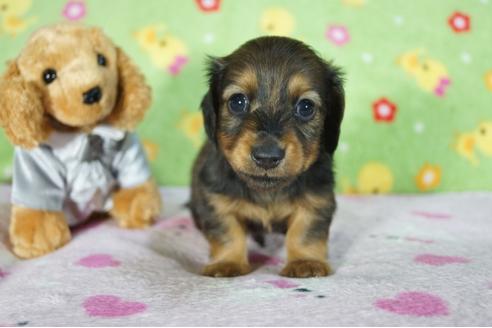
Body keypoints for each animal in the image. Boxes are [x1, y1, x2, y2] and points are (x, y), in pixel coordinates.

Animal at [190, 35, 344, 276]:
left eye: (306, 107)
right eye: (237, 101)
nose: (267, 157)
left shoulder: (317, 198)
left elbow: (305, 232)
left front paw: (305, 262)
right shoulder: (215, 200)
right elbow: (227, 232)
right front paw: (227, 262)